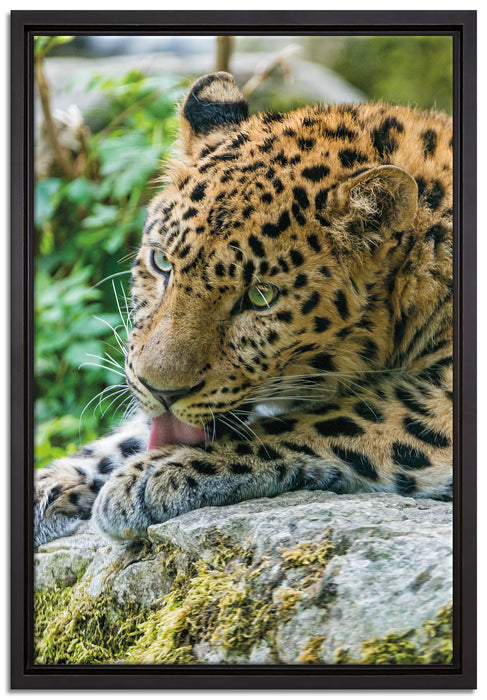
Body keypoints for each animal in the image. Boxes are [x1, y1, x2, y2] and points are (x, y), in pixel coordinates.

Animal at [34, 71, 453, 546]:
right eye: (162, 262)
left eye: (260, 297)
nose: (161, 391)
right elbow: (134, 432)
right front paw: (54, 481)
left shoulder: (438, 401)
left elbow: (330, 419)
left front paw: (155, 472)